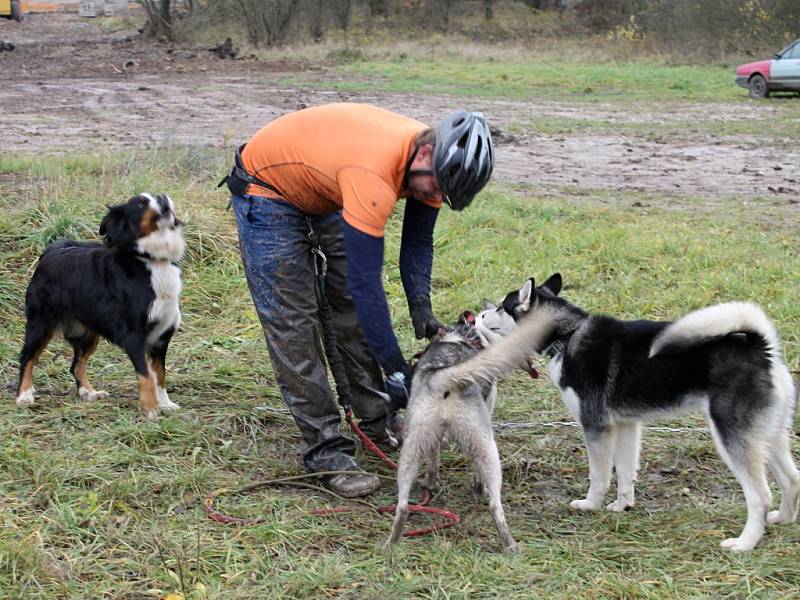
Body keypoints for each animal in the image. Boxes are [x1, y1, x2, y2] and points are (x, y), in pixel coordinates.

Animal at [16, 195, 185, 420]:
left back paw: (88, 392)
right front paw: (150, 409)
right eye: (141, 203)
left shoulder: (161, 337)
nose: (164, 199)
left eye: (159, 195)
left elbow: (160, 375)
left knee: (76, 365)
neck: (151, 260)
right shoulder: (133, 336)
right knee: (27, 358)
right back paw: (24, 395)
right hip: (41, 324)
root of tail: (52, 250)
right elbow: (146, 375)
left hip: (87, 333)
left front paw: (165, 404)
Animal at [476, 274, 800, 552]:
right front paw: (622, 507)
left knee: (761, 496)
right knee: (792, 478)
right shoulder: (626, 425)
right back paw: (782, 519)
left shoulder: (596, 426)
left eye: (502, 306)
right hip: (768, 436)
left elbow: (600, 476)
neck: (567, 336)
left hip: (732, 437)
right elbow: (625, 473)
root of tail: (762, 347)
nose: (477, 313)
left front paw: (590, 505)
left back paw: (745, 543)